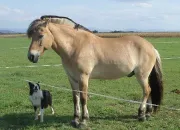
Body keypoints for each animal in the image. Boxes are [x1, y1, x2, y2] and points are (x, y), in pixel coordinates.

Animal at [26, 15, 163, 128]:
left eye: (41, 35)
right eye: (31, 36)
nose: (31, 56)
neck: (76, 46)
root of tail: (151, 47)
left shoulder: (83, 77)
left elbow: (83, 98)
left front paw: (83, 121)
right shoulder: (72, 78)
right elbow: (75, 98)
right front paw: (75, 120)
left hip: (142, 75)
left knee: (147, 91)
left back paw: (141, 115)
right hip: (145, 76)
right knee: (149, 91)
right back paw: (147, 113)